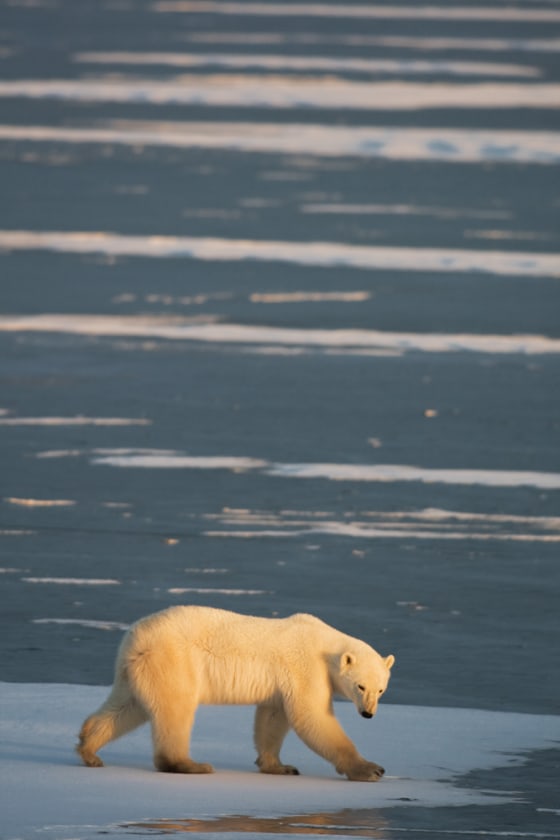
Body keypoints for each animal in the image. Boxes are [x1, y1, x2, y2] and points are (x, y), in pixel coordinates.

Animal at [77, 605, 394, 782]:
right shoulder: (305, 667)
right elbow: (312, 716)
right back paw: (191, 764)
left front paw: (279, 766)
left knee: (127, 707)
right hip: (174, 659)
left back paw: (89, 750)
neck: (325, 644)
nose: (368, 713)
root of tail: (135, 637)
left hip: (137, 669)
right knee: (176, 709)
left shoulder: (281, 682)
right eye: (361, 686)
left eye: (381, 689)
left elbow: (272, 717)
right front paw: (371, 769)